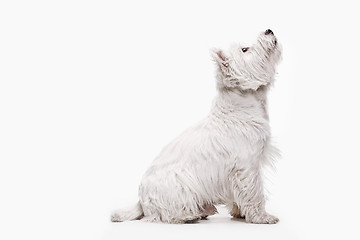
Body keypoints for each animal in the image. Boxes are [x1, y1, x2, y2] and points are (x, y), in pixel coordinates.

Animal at [111, 29, 282, 224]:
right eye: (245, 49)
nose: (269, 30)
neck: (242, 103)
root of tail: (140, 201)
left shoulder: (238, 170)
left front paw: (239, 213)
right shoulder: (247, 165)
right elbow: (254, 193)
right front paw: (262, 217)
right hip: (178, 185)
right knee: (167, 214)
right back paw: (191, 215)